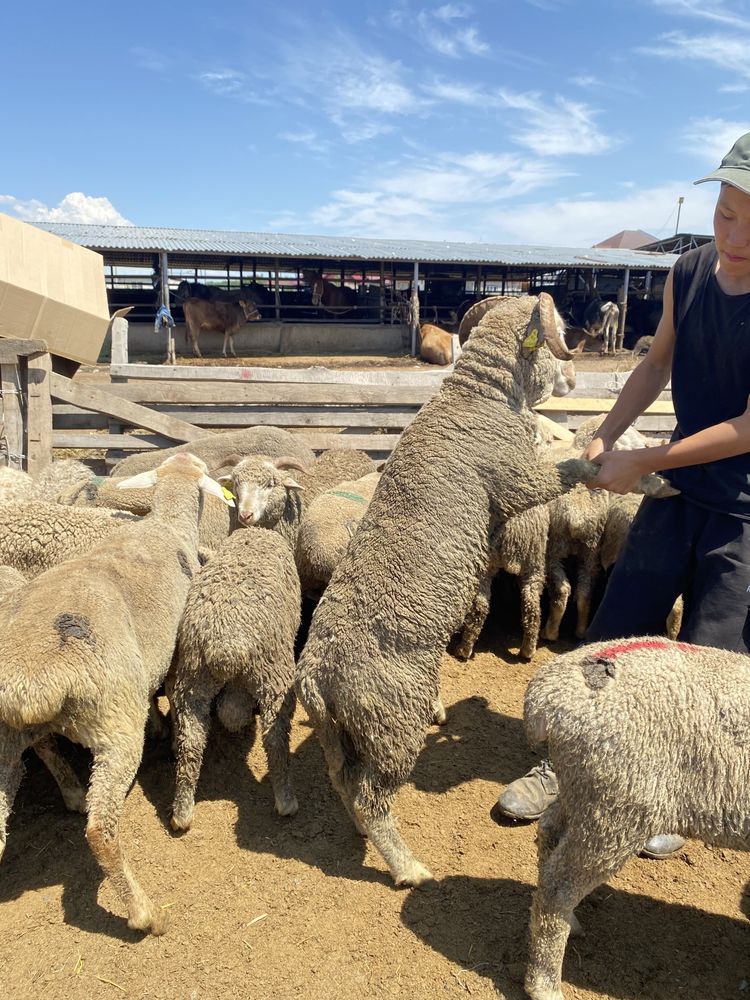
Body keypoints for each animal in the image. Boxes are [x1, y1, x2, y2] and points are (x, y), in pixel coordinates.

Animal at [0, 450, 232, 932]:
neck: (166, 524)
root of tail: (29, 685)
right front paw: (165, 729)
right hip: (114, 724)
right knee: (100, 829)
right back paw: (144, 914)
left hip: (5, 742)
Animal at [169, 528, 302, 832]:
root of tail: (225, 645)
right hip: (275, 678)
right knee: (275, 739)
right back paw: (286, 800)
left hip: (192, 681)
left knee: (191, 742)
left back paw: (181, 812)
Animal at [296, 292, 676, 888]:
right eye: (559, 326)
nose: (574, 379)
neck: (479, 396)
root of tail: (314, 678)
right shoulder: (523, 482)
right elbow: (582, 466)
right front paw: (653, 479)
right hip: (391, 722)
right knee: (371, 798)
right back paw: (408, 867)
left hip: (344, 735)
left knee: (345, 787)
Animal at [524, 632, 750, 1000]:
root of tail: (547, 697)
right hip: (619, 806)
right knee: (558, 886)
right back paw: (544, 985)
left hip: (586, 789)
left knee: (549, 833)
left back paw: (570, 922)